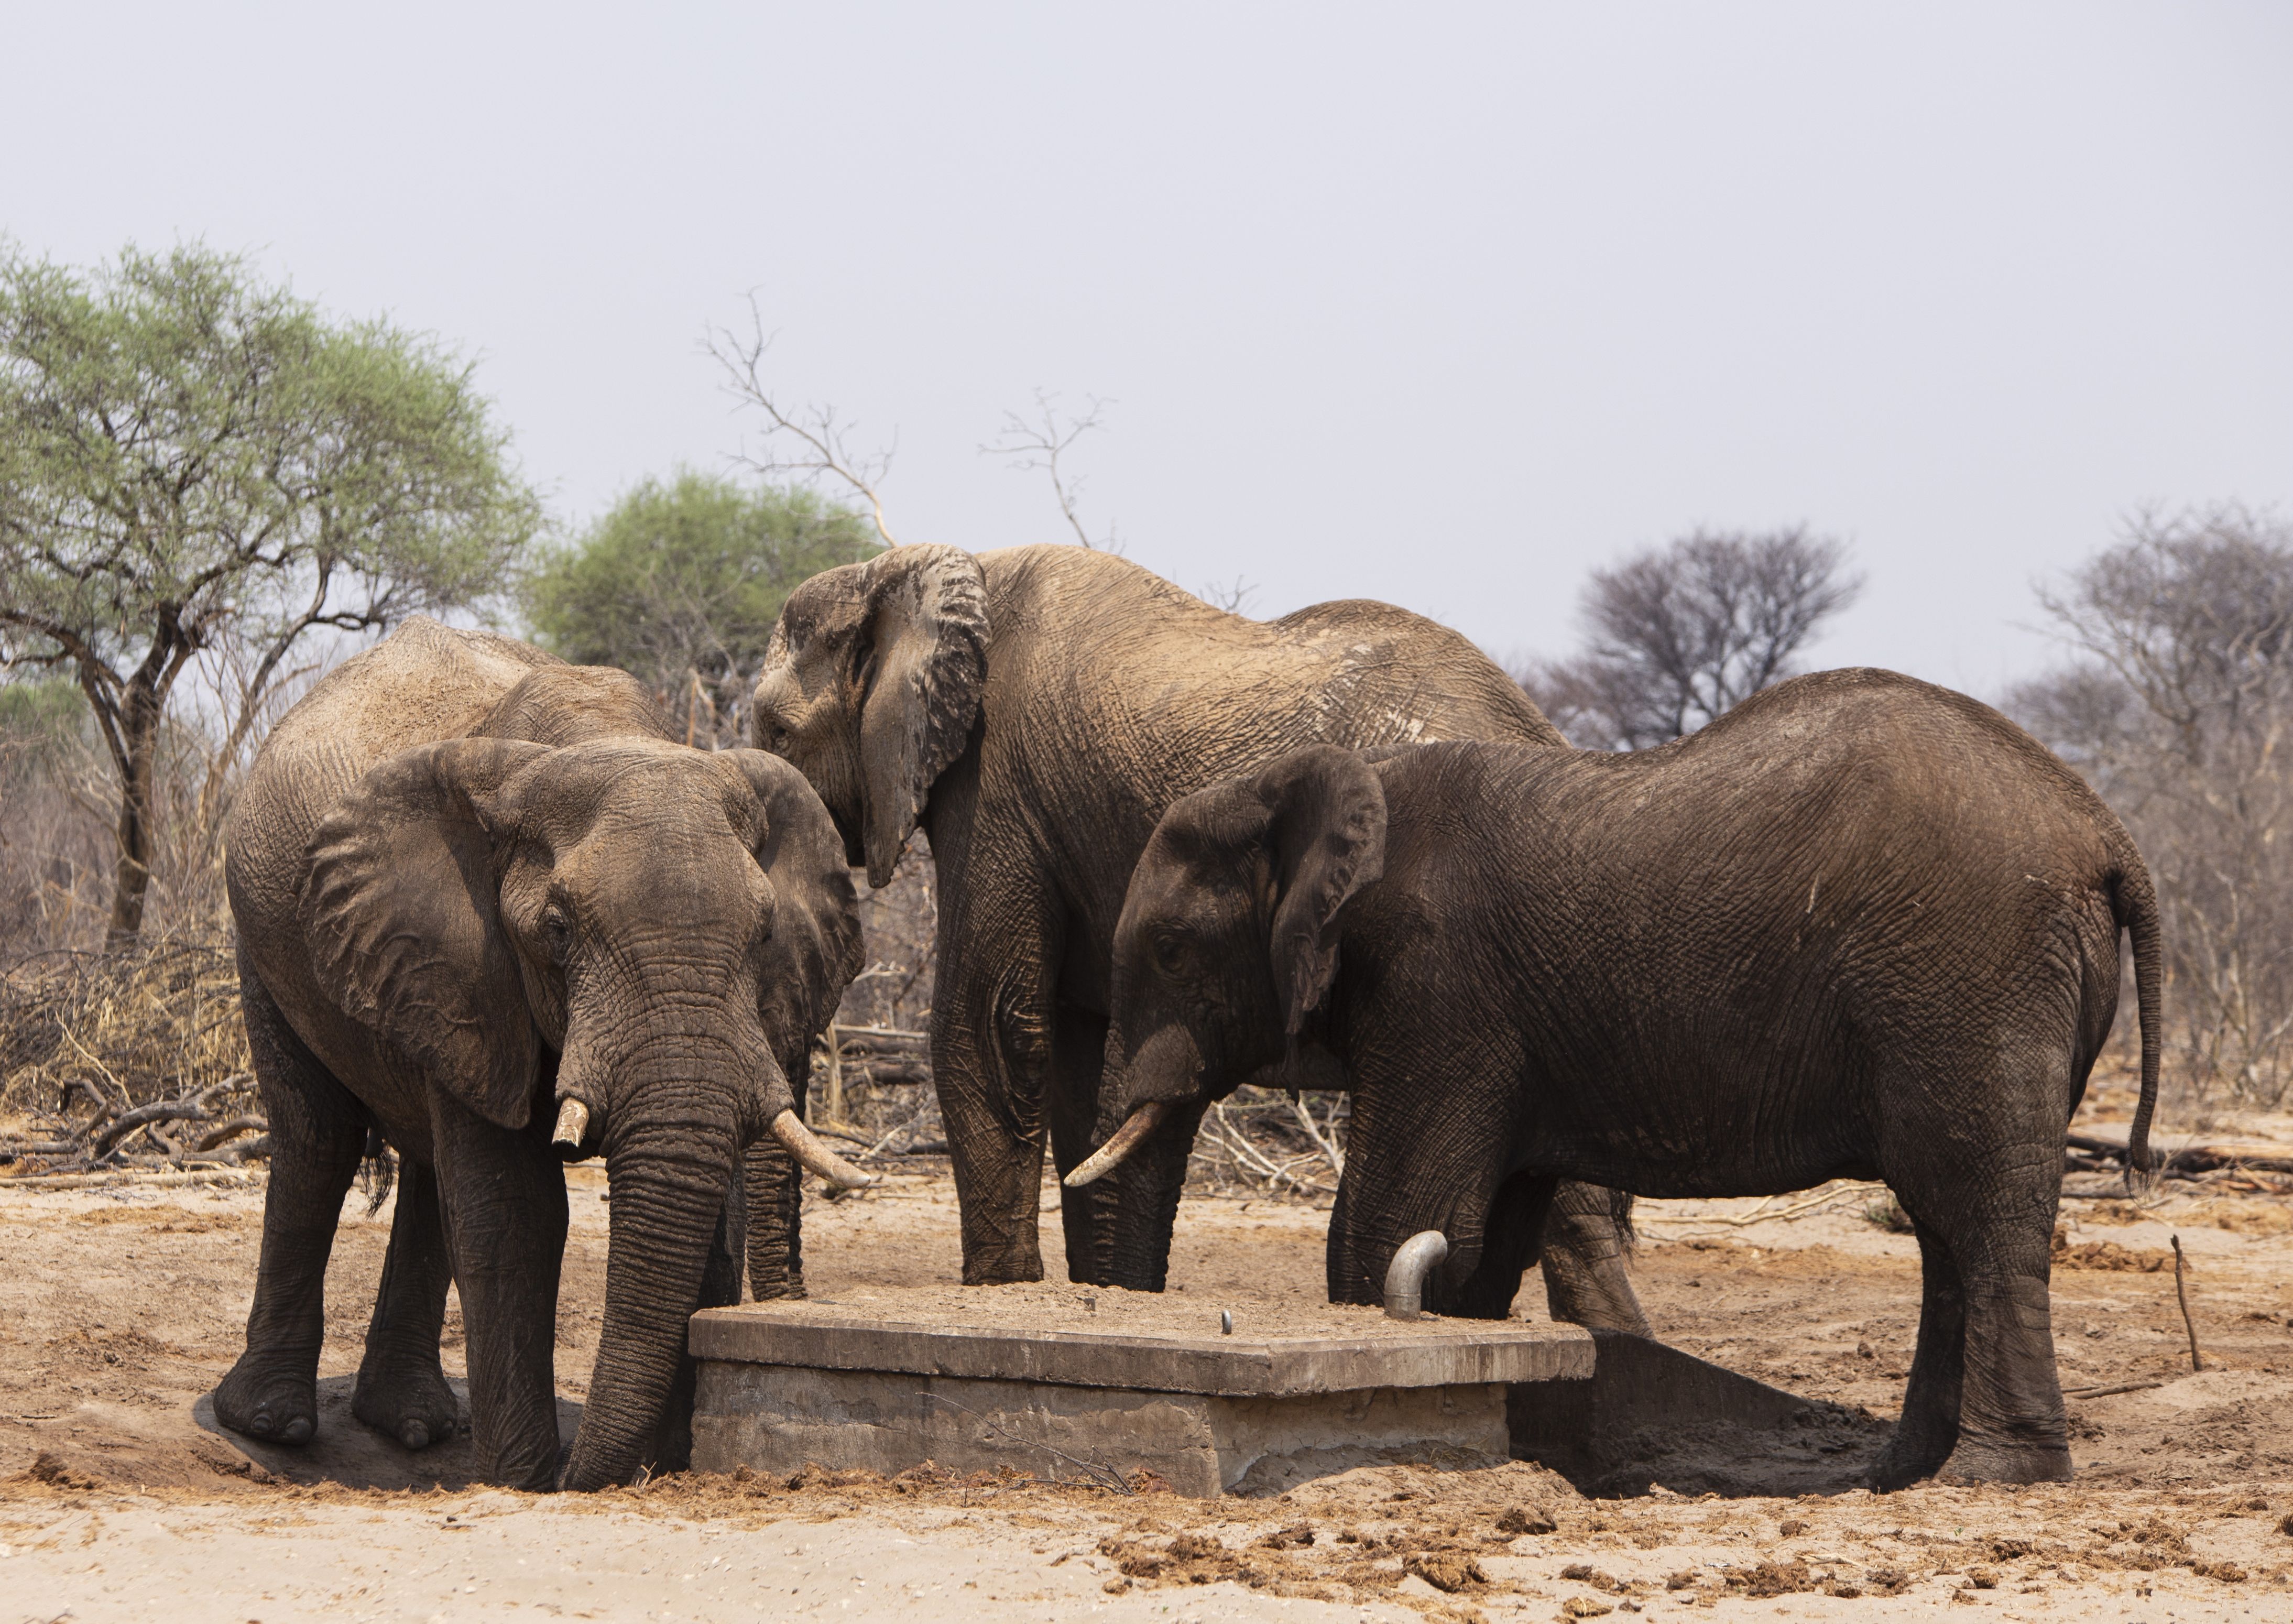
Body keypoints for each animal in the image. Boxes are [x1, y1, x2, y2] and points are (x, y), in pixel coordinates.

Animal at [217, 618, 867, 1490]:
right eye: (557, 931)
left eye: (764, 932)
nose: (579, 1472)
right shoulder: (468, 957)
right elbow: (516, 1211)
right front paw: (523, 1479)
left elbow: (709, 1214)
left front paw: (649, 1468)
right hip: (265, 941)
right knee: (319, 1141)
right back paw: (270, 1423)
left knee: (423, 1164)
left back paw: (414, 1423)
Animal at [750, 541, 1646, 1332]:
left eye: (778, 730)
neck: (916, 569)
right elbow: (1080, 1059)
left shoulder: (996, 783)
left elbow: (995, 1026)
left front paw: (1006, 1289)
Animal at [1079, 668, 2161, 1487]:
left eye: (1171, 949)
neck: (1334, 782)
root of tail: (2108, 834)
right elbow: (1481, 1236)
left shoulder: (1438, 990)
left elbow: (1393, 1219)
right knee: (1947, 1224)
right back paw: (1898, 1473)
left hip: (1973, 980)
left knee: (1981, 1212)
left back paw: (1991, 1474)